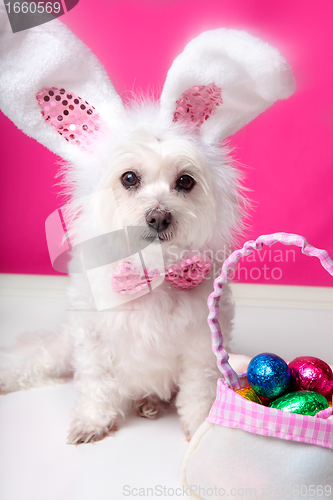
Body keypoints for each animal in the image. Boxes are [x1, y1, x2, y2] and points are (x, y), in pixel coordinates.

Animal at [0, 10, 294, 442]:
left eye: (185, 181)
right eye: (129, 178)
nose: (158, 215)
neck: (152, 273)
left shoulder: (201, 345)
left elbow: (198, 391)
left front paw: (200, 426)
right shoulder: (92, 339)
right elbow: (95, 383)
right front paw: (93, 420)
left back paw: (150, 402)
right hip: (62, 347)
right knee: (38, 362)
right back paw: (10, 377)